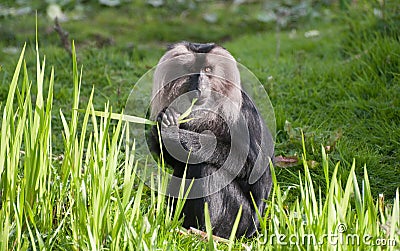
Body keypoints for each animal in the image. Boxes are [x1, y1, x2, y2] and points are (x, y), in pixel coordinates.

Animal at [148, 41, 274, 239]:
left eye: (208, 70)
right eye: (191, 70)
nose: (200, 86)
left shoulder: (241, 113)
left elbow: (251, 166)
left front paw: (180, 136)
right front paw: (164, 122)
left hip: (242, 220)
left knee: (206, 168)